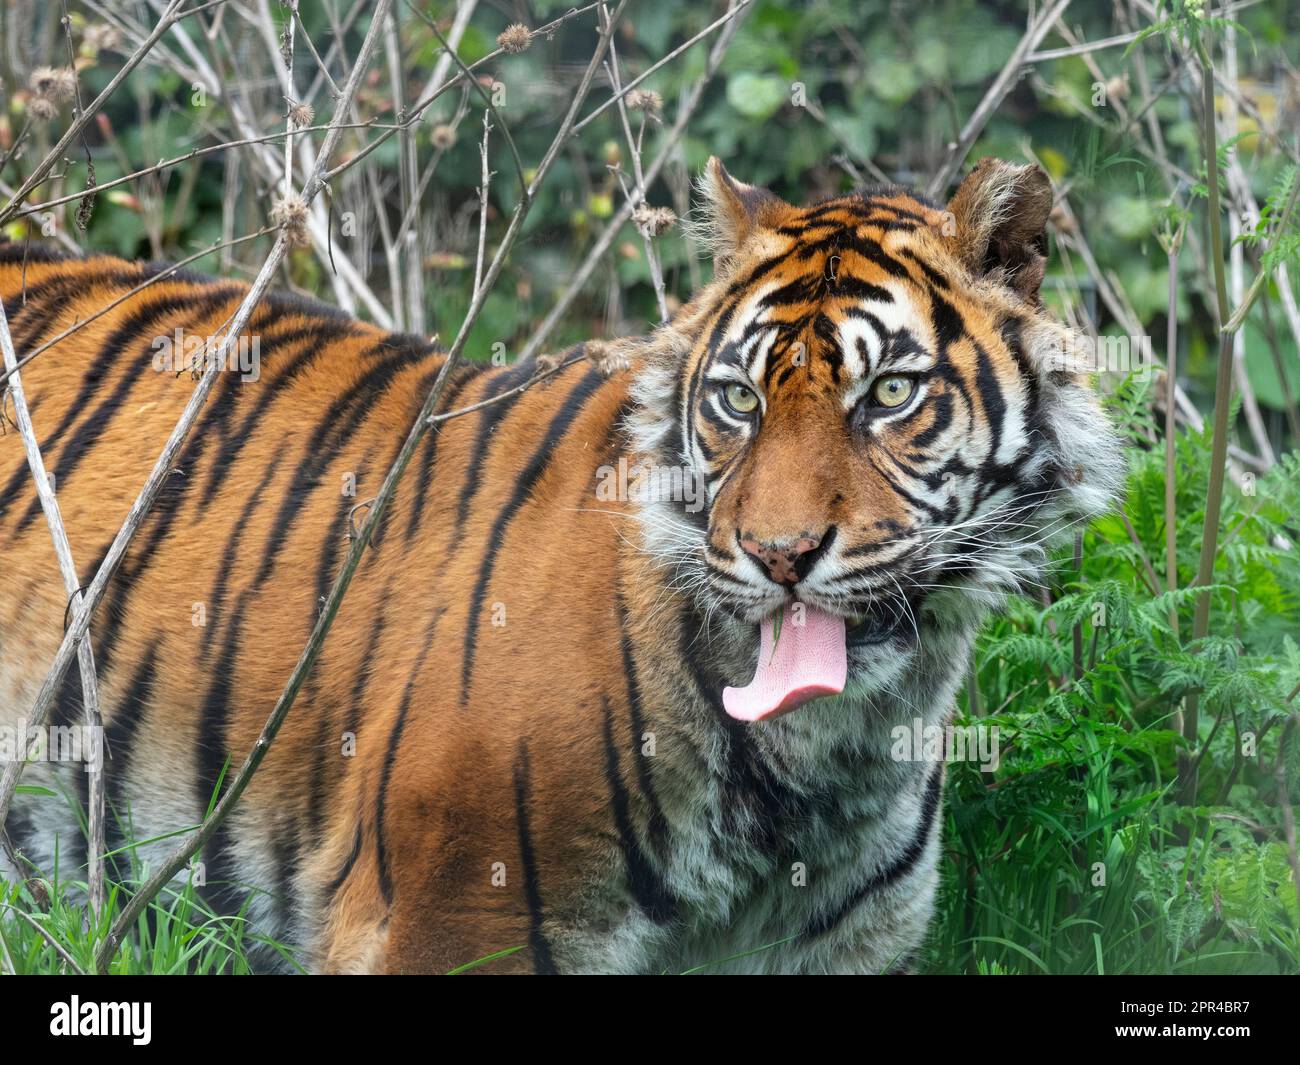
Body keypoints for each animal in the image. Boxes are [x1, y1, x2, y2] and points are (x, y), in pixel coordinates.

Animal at [0, 157, 1118, 972]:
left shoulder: (844, 948)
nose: (779, 554)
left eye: (888, 394)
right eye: (739, 400)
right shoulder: (450, 921)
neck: (820, 760)